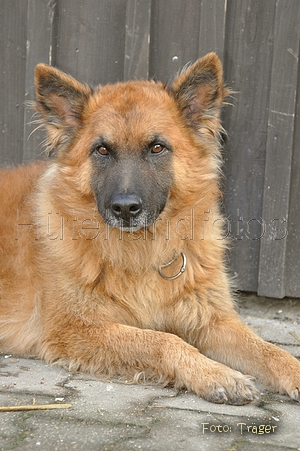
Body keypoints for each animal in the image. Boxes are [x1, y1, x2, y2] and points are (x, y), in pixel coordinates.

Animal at [0, 53, 300, 406]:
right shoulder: (76, 329)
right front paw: (216, 374)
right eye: (102, 150)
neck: (143, 251)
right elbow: (163, 341)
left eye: (156, 148)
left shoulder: (212, 319)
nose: (125, 208)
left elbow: (268, 350)